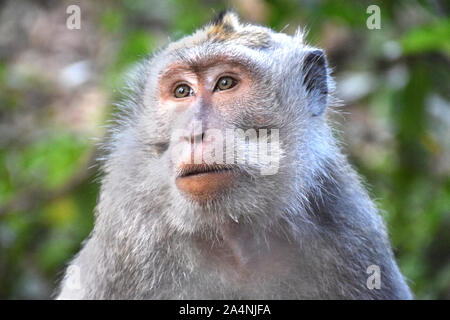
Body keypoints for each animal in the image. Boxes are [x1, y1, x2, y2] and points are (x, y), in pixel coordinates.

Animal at [56, 10, 412, 300]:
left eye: (226, 83)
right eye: (182, 91)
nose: (194, 133)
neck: (233, 234)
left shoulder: (348, 225)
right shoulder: (126, 236)